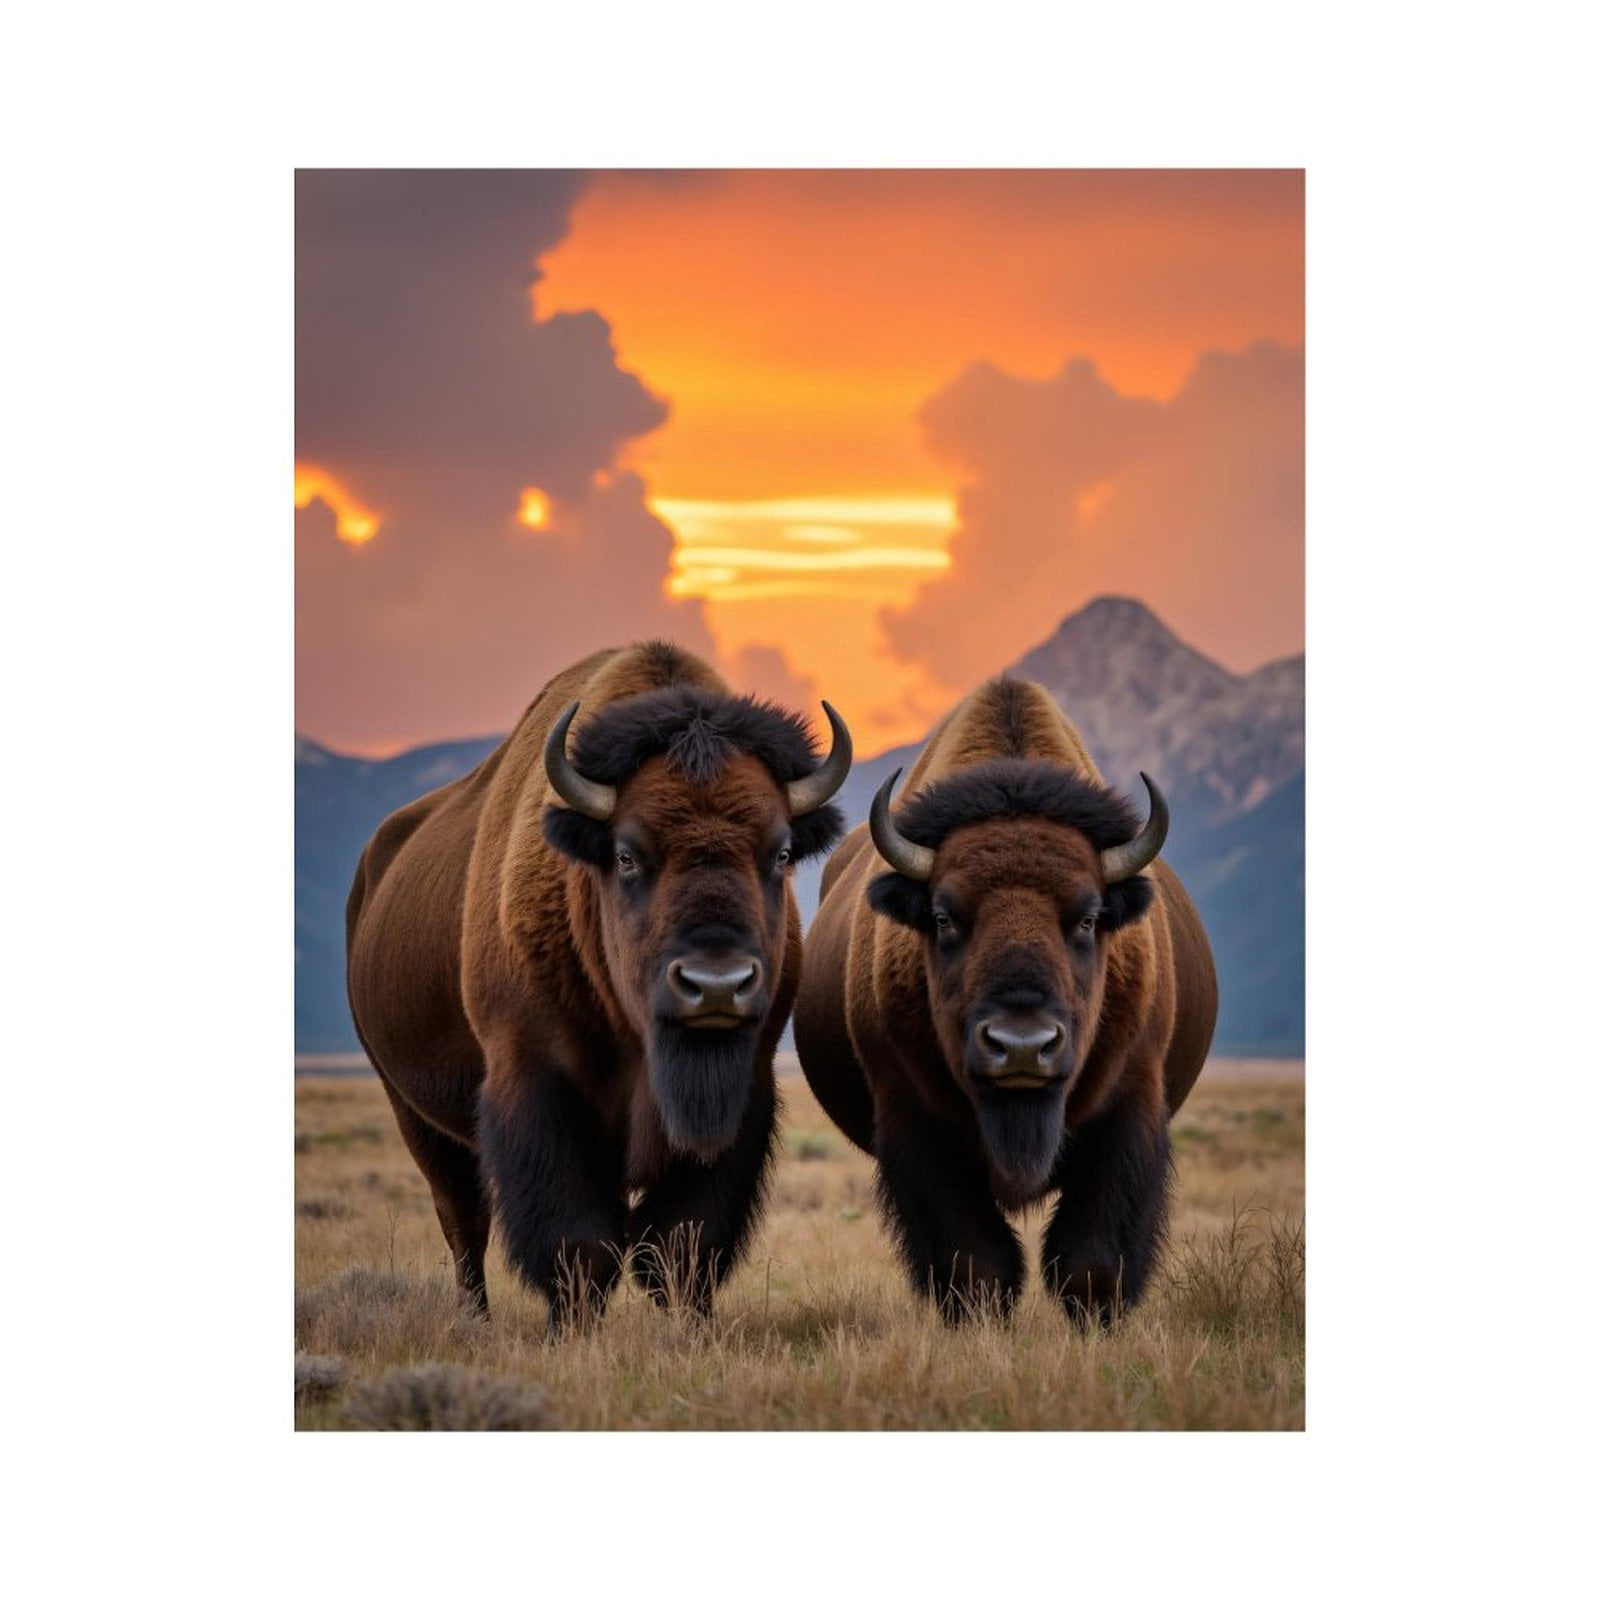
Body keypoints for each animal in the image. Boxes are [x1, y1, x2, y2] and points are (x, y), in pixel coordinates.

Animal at [345, 643, 851, 1331]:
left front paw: (693, 1332)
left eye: (778, 853)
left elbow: (684, 1240)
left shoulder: (740, 1095)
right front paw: (573, 1332)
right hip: (411, 1109)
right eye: (628, 855)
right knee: (463, 1221)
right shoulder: (539, 1085)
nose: (716, 984)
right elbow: (579, 1241)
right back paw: (475, 1320)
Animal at [794, 676, 1216, 1325]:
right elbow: (975, 1262)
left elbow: (1092, 1260)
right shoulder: (916, 1120)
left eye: (1088, 917)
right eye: (944, 917)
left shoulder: (1129, 1106)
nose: (1022, 1046)